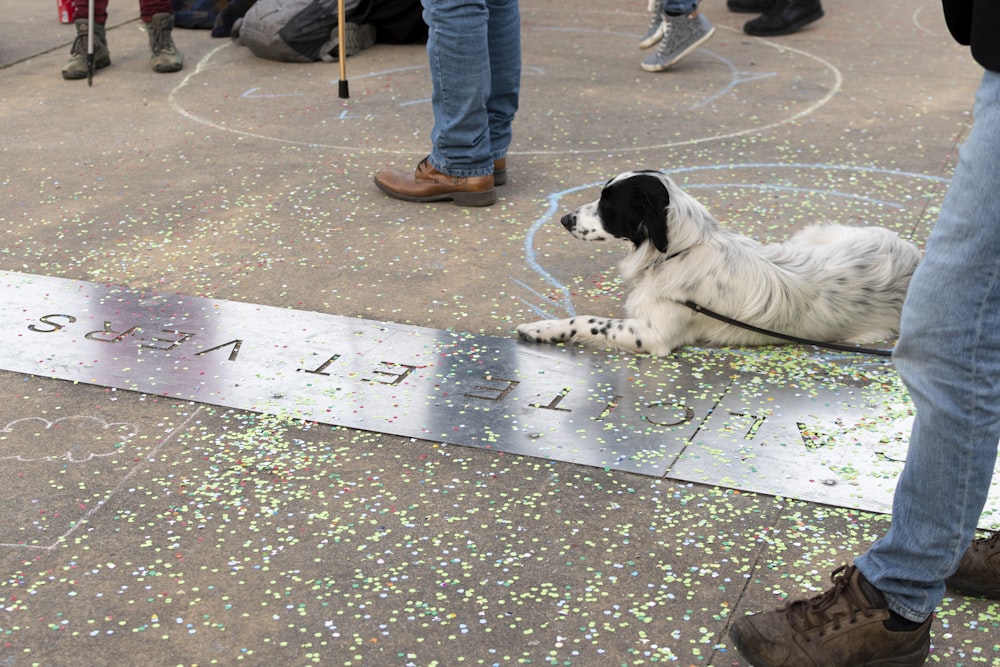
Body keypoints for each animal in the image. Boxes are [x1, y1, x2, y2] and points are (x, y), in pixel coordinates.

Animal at [520, 171, 924, 360]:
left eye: (607, 202)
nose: (565, 219)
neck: (683, 249)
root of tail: (915, 256)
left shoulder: (653, 334)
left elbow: (586, 320)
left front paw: (541, 329)